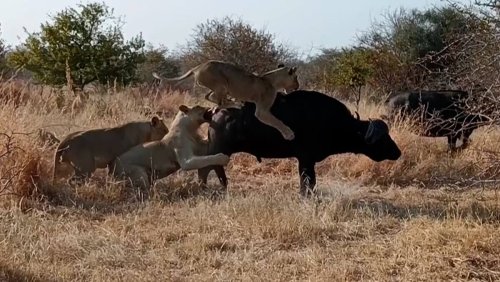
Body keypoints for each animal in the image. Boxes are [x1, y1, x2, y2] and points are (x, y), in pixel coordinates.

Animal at [152, 61, 298, 141]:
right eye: (296, 77)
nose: (298, 86)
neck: (273, 80)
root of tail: (197, 67)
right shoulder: (261, 111)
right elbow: (277, 121)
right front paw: (289, 134)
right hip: (221, 84)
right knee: (217, 100)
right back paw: (234, 103)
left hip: (218, 86)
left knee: (210, 97)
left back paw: (232, 103)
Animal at [197, 90, 400, 196]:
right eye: (382, 138)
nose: (397, 152)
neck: (333, 121)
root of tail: (215, 112)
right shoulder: (306, 160)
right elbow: (308, 181)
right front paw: (307, 196)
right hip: (220, 152)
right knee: (210, 168)